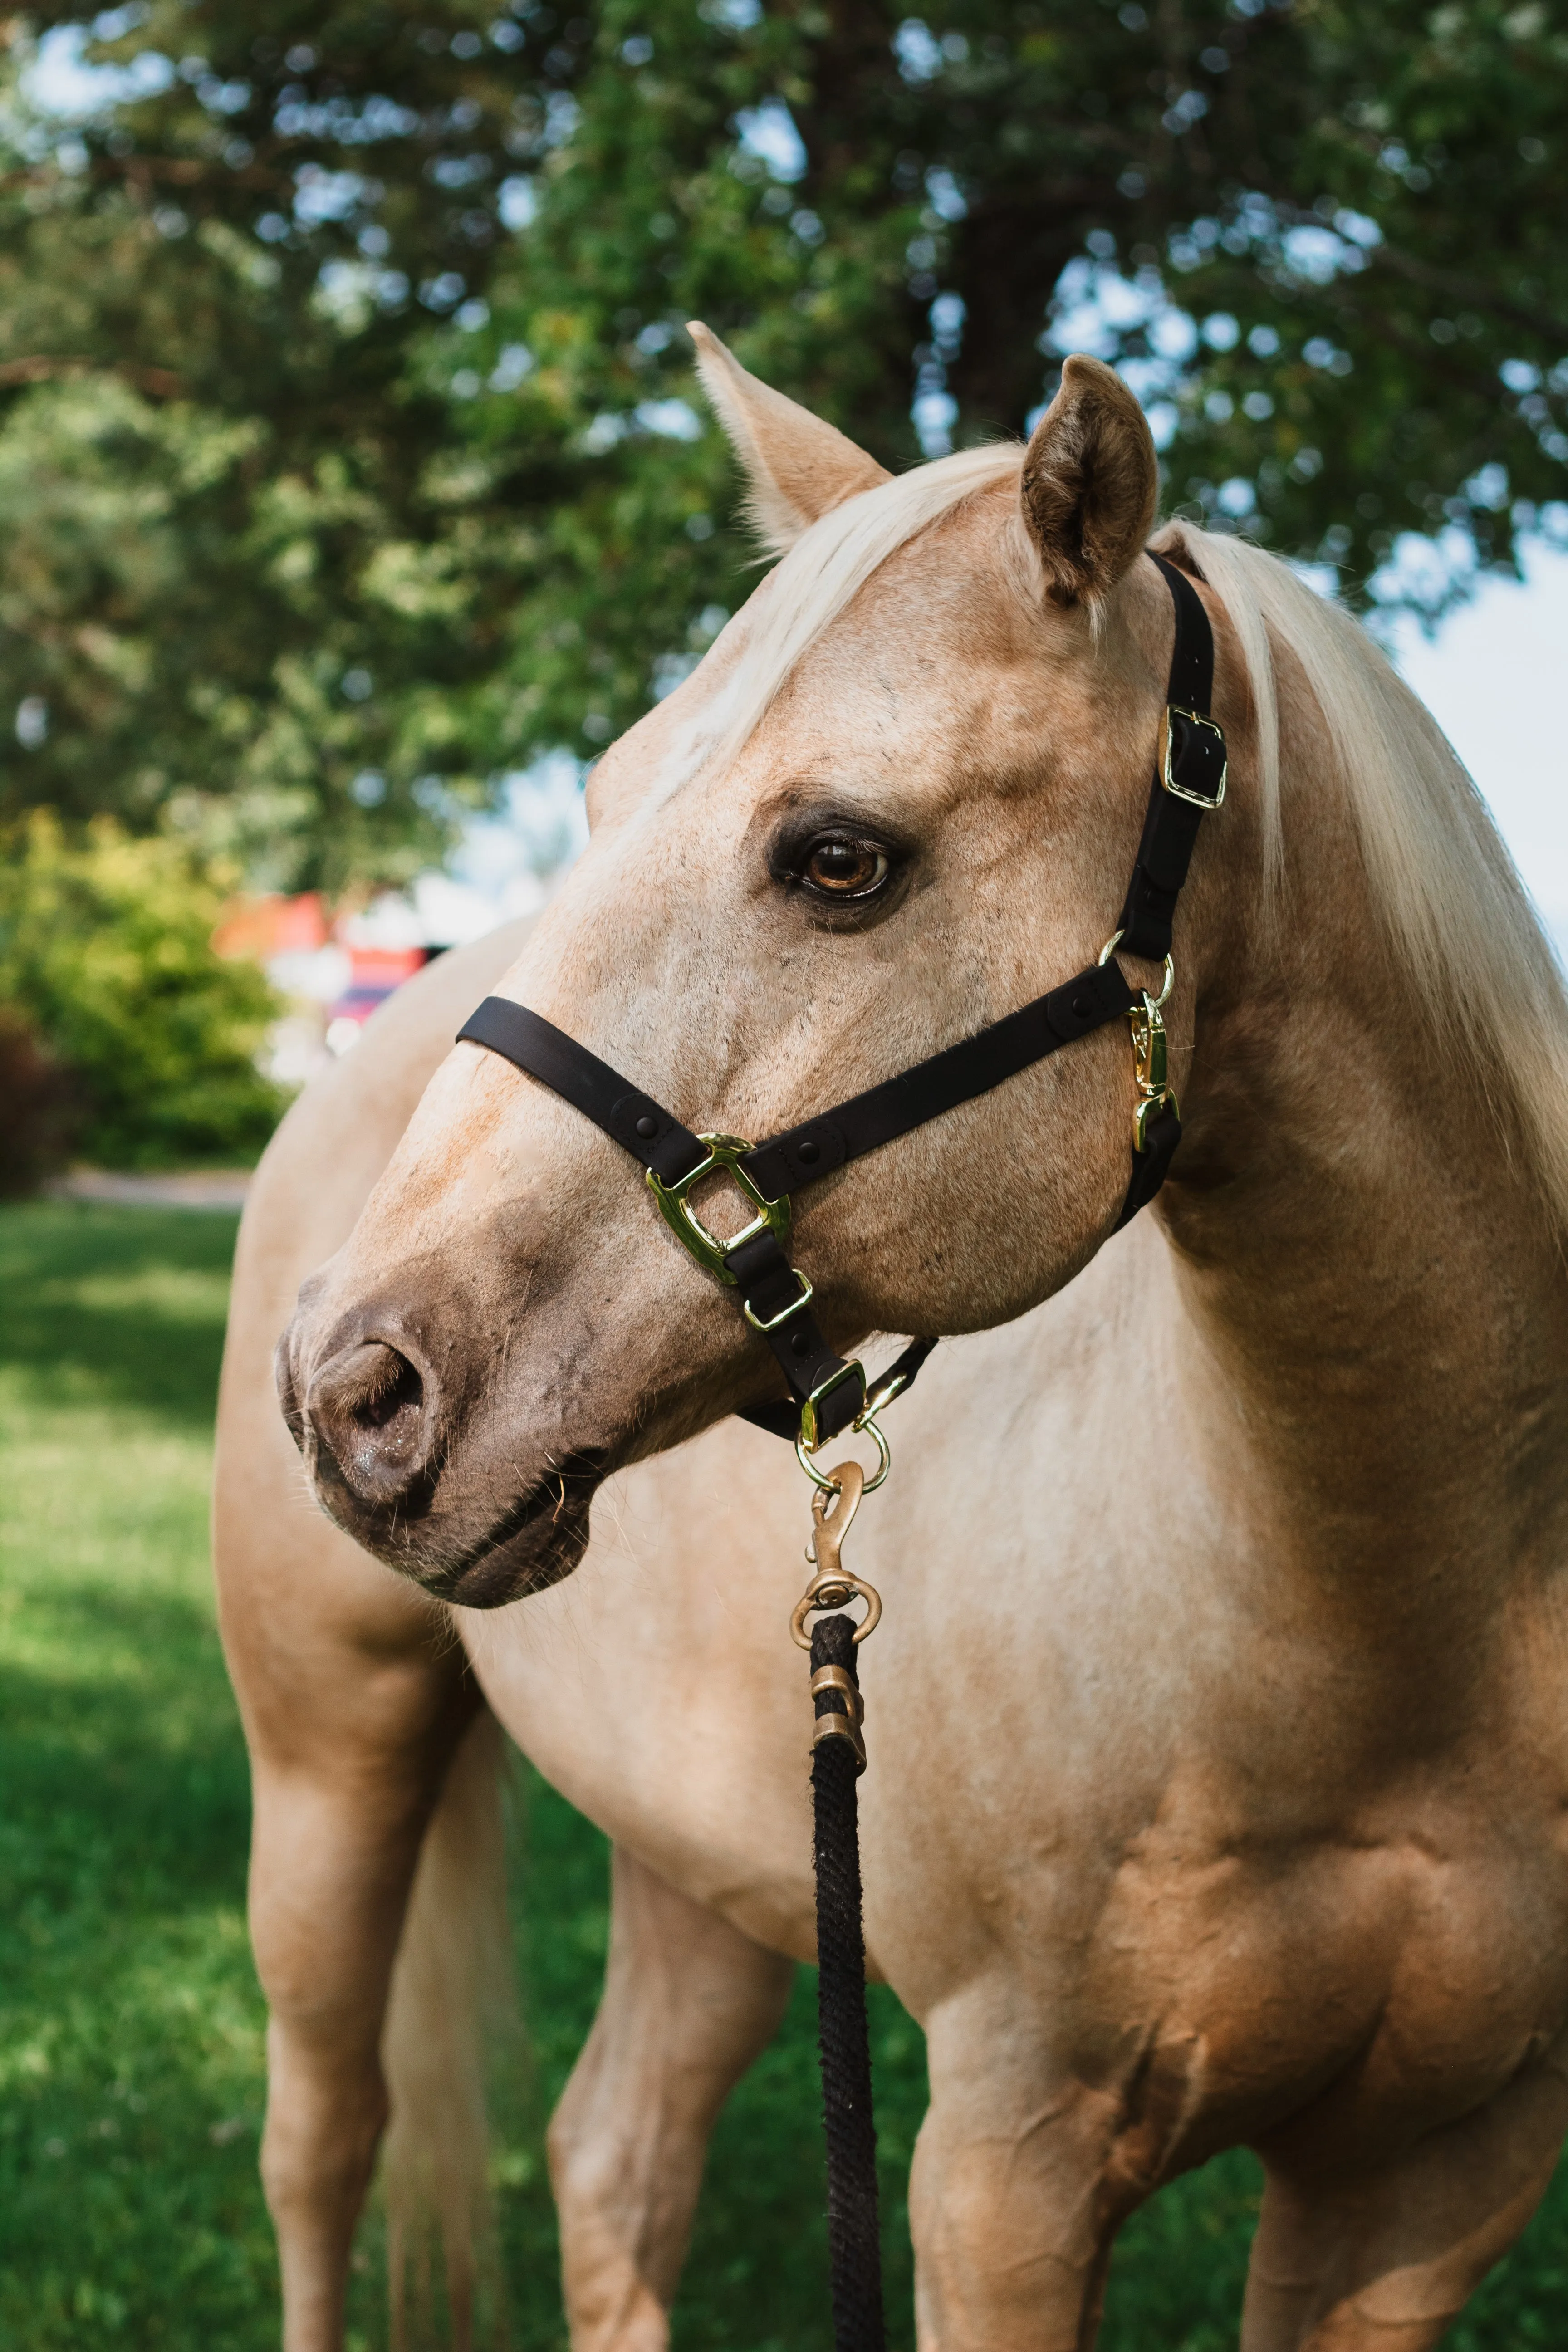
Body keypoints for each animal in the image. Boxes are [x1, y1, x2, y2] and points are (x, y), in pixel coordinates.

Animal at [215, 336, 1568, 2352]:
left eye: (839, 858)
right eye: (603, 798)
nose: (355, 1389)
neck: (1395, 1630)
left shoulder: (1432, 2177)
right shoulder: (1002, 2165)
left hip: (710, 1852)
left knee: (613, 2158)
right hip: (325, 1766)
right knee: (324, 2139)